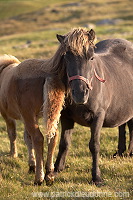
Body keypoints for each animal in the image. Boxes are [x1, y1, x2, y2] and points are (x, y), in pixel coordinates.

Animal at [0, 54, 65, 185]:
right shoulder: (27, 117)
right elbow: (27, 138)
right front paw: (31, 165)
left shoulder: (7, 115)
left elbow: (12, 134)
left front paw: (13, 154)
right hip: (50, 113)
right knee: (53, 136)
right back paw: (49, 174)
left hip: (28, 114)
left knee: (38, 138)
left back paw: (39, 178)